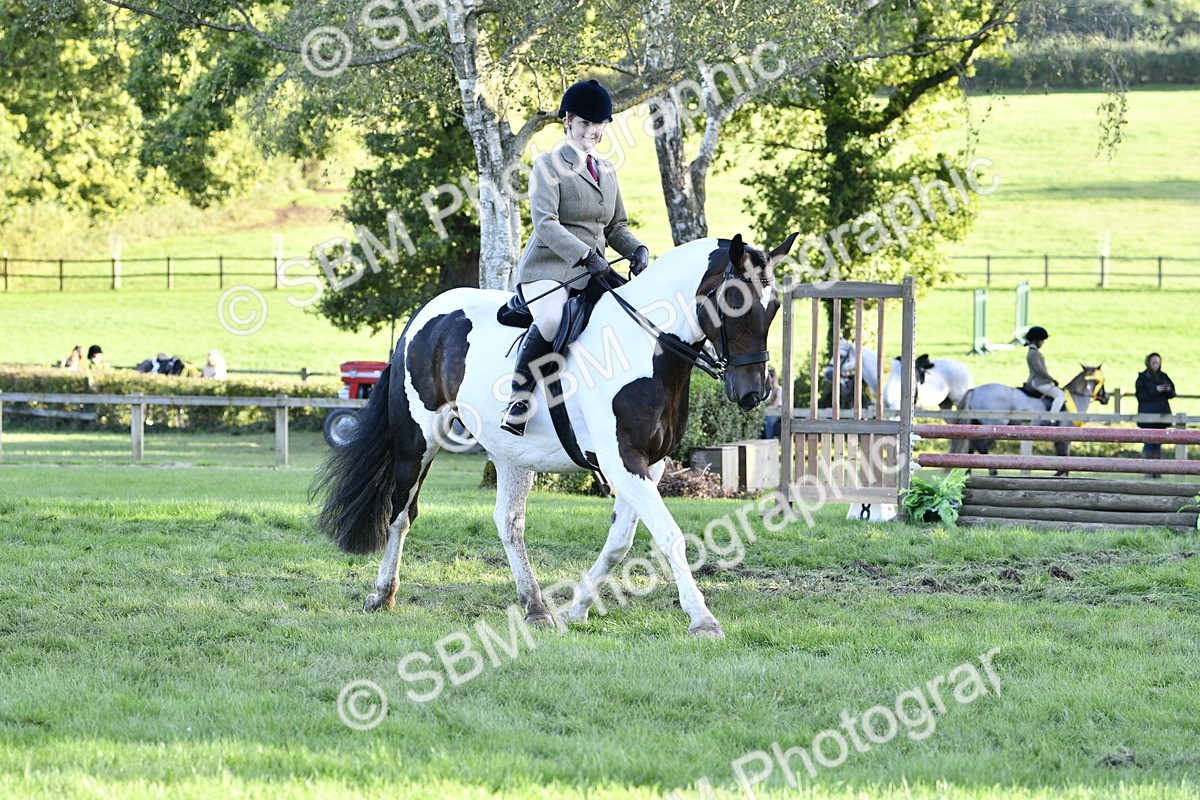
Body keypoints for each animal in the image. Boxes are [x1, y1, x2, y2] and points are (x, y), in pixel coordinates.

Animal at [313, 233, 799, 638]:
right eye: (735, 302)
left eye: (774, 307)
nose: (754, 393)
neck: (646, 348)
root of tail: (426, 314)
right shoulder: (622, 460)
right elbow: (669, 535)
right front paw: (702, 619)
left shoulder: (651, 464)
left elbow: (620, 542)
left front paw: (577, 608)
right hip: (419, 441)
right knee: (401, 515)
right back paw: (382, 594)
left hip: (512, 452)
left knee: (508, 523)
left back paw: (536, 608)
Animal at [953, 365, 1109, 476]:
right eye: (1102, 381)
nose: (1106, 398)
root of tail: (974, 390)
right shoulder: (1064, 437)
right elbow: (1064, 456)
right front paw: (1058, 474)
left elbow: (1063, 457)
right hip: (995, 425)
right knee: (981, 447)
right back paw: (992, 471)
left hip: (977, 425)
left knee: (971, 448)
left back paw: (967, 473)